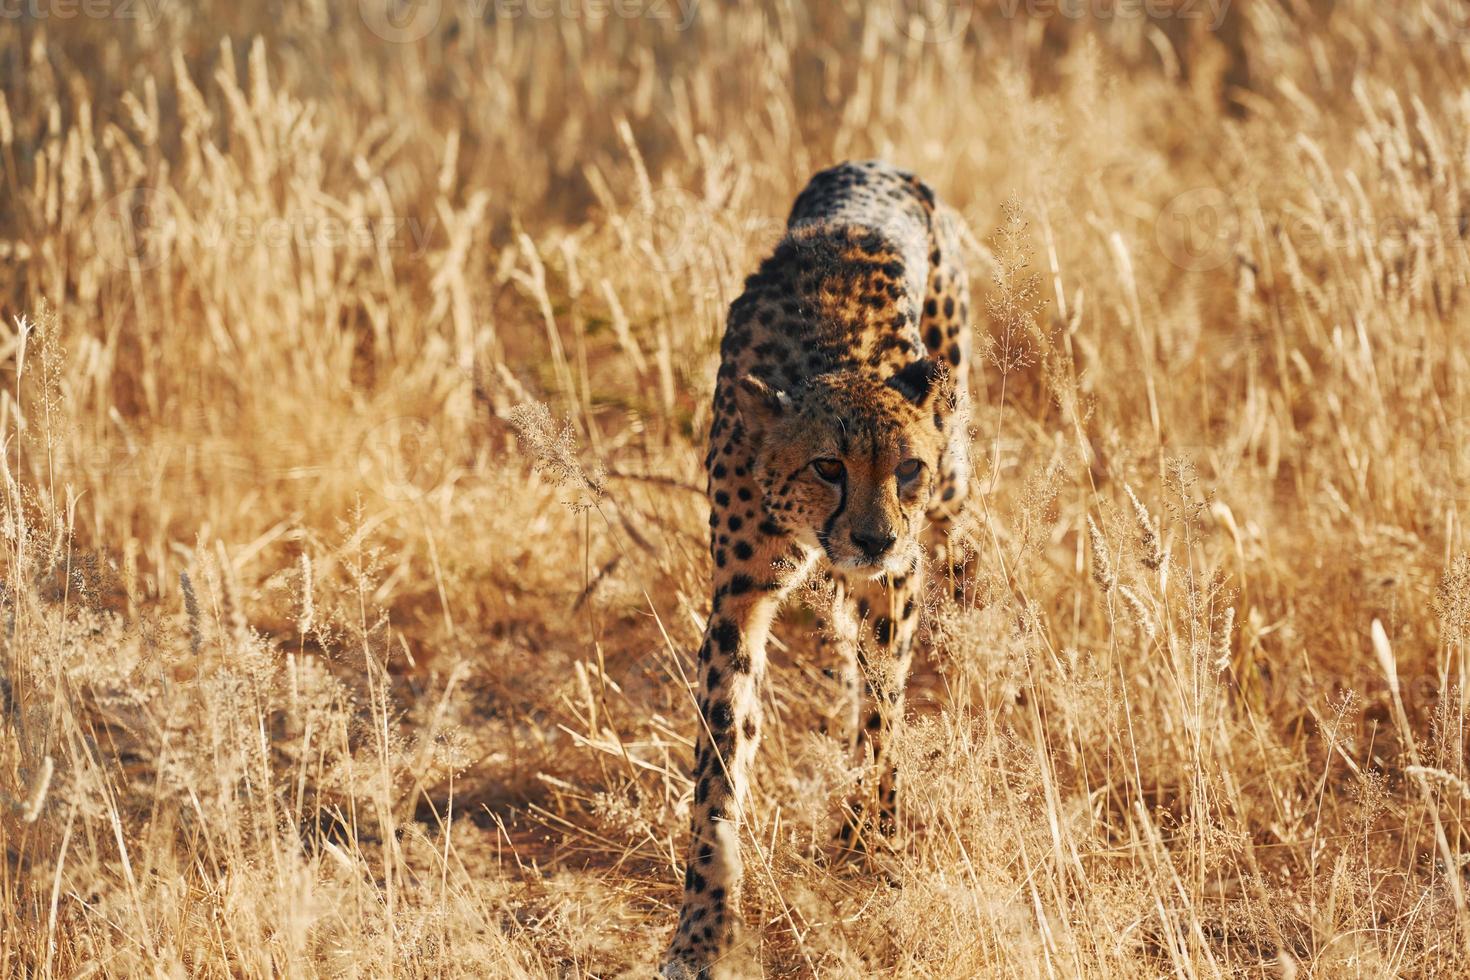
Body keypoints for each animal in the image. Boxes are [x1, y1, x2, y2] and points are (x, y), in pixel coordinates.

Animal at [667, 159, 976, 975]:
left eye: (906, 468)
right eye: (828, 466)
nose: (873, 538)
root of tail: (878, 163)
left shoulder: (893, 580)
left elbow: (883, 716)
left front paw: (868, 845)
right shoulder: (738, 594)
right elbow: (721, 759)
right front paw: (703, 926)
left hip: (952, 477)